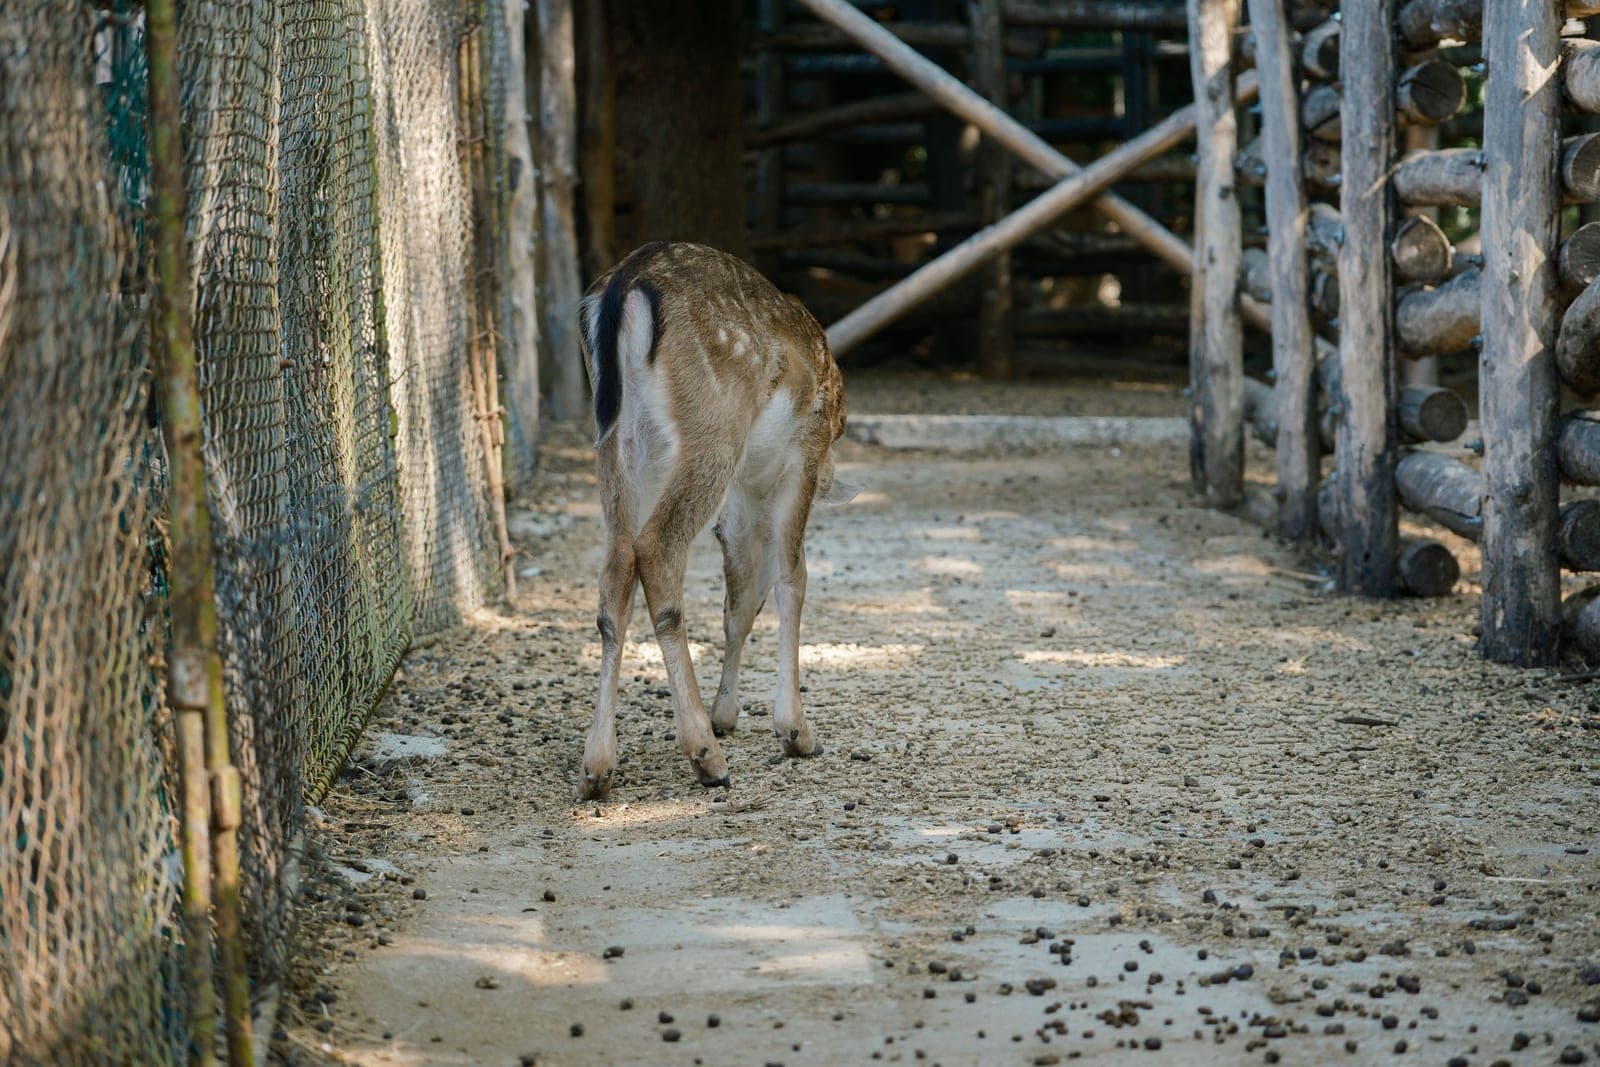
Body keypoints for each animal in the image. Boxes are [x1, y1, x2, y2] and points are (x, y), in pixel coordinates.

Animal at [575, 242, 852, 800]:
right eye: (837, 431)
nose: (835, 481)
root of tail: (626, 285)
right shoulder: (801, 458)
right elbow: (793, 577)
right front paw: (796, 731)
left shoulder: (742, 503)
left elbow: (741, 599)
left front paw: (729, 713)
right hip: (714, 426)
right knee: (657, 548)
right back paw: (706, 756)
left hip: (618, 439)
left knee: (616, 564)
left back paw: (597, 767)